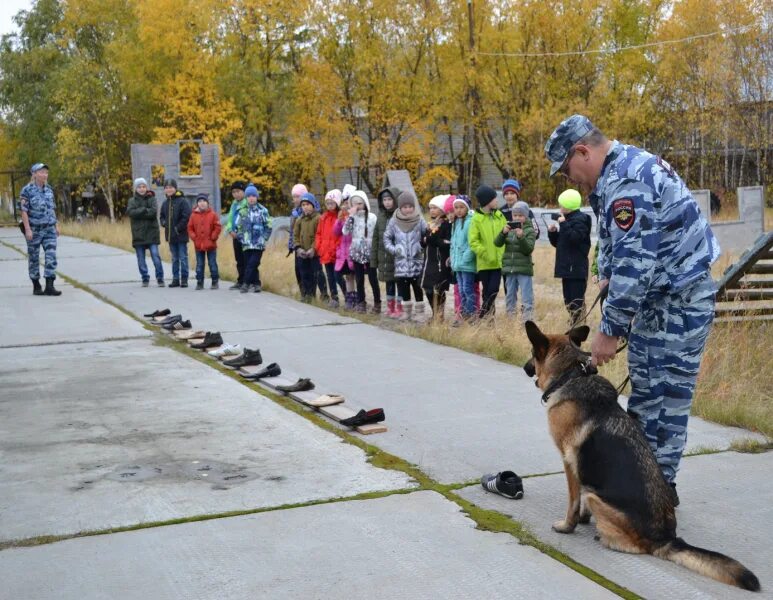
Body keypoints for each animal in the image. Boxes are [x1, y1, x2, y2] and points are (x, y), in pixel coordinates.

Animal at [520, 322, 756, 592]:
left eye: (532, 352)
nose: (524, 367)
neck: (570, 374)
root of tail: (665, 538)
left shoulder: (569, 463)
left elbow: (573, 499)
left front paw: (568, 525)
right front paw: (583, 519)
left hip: (597, 498)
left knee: (634, 545)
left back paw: (607, 536)